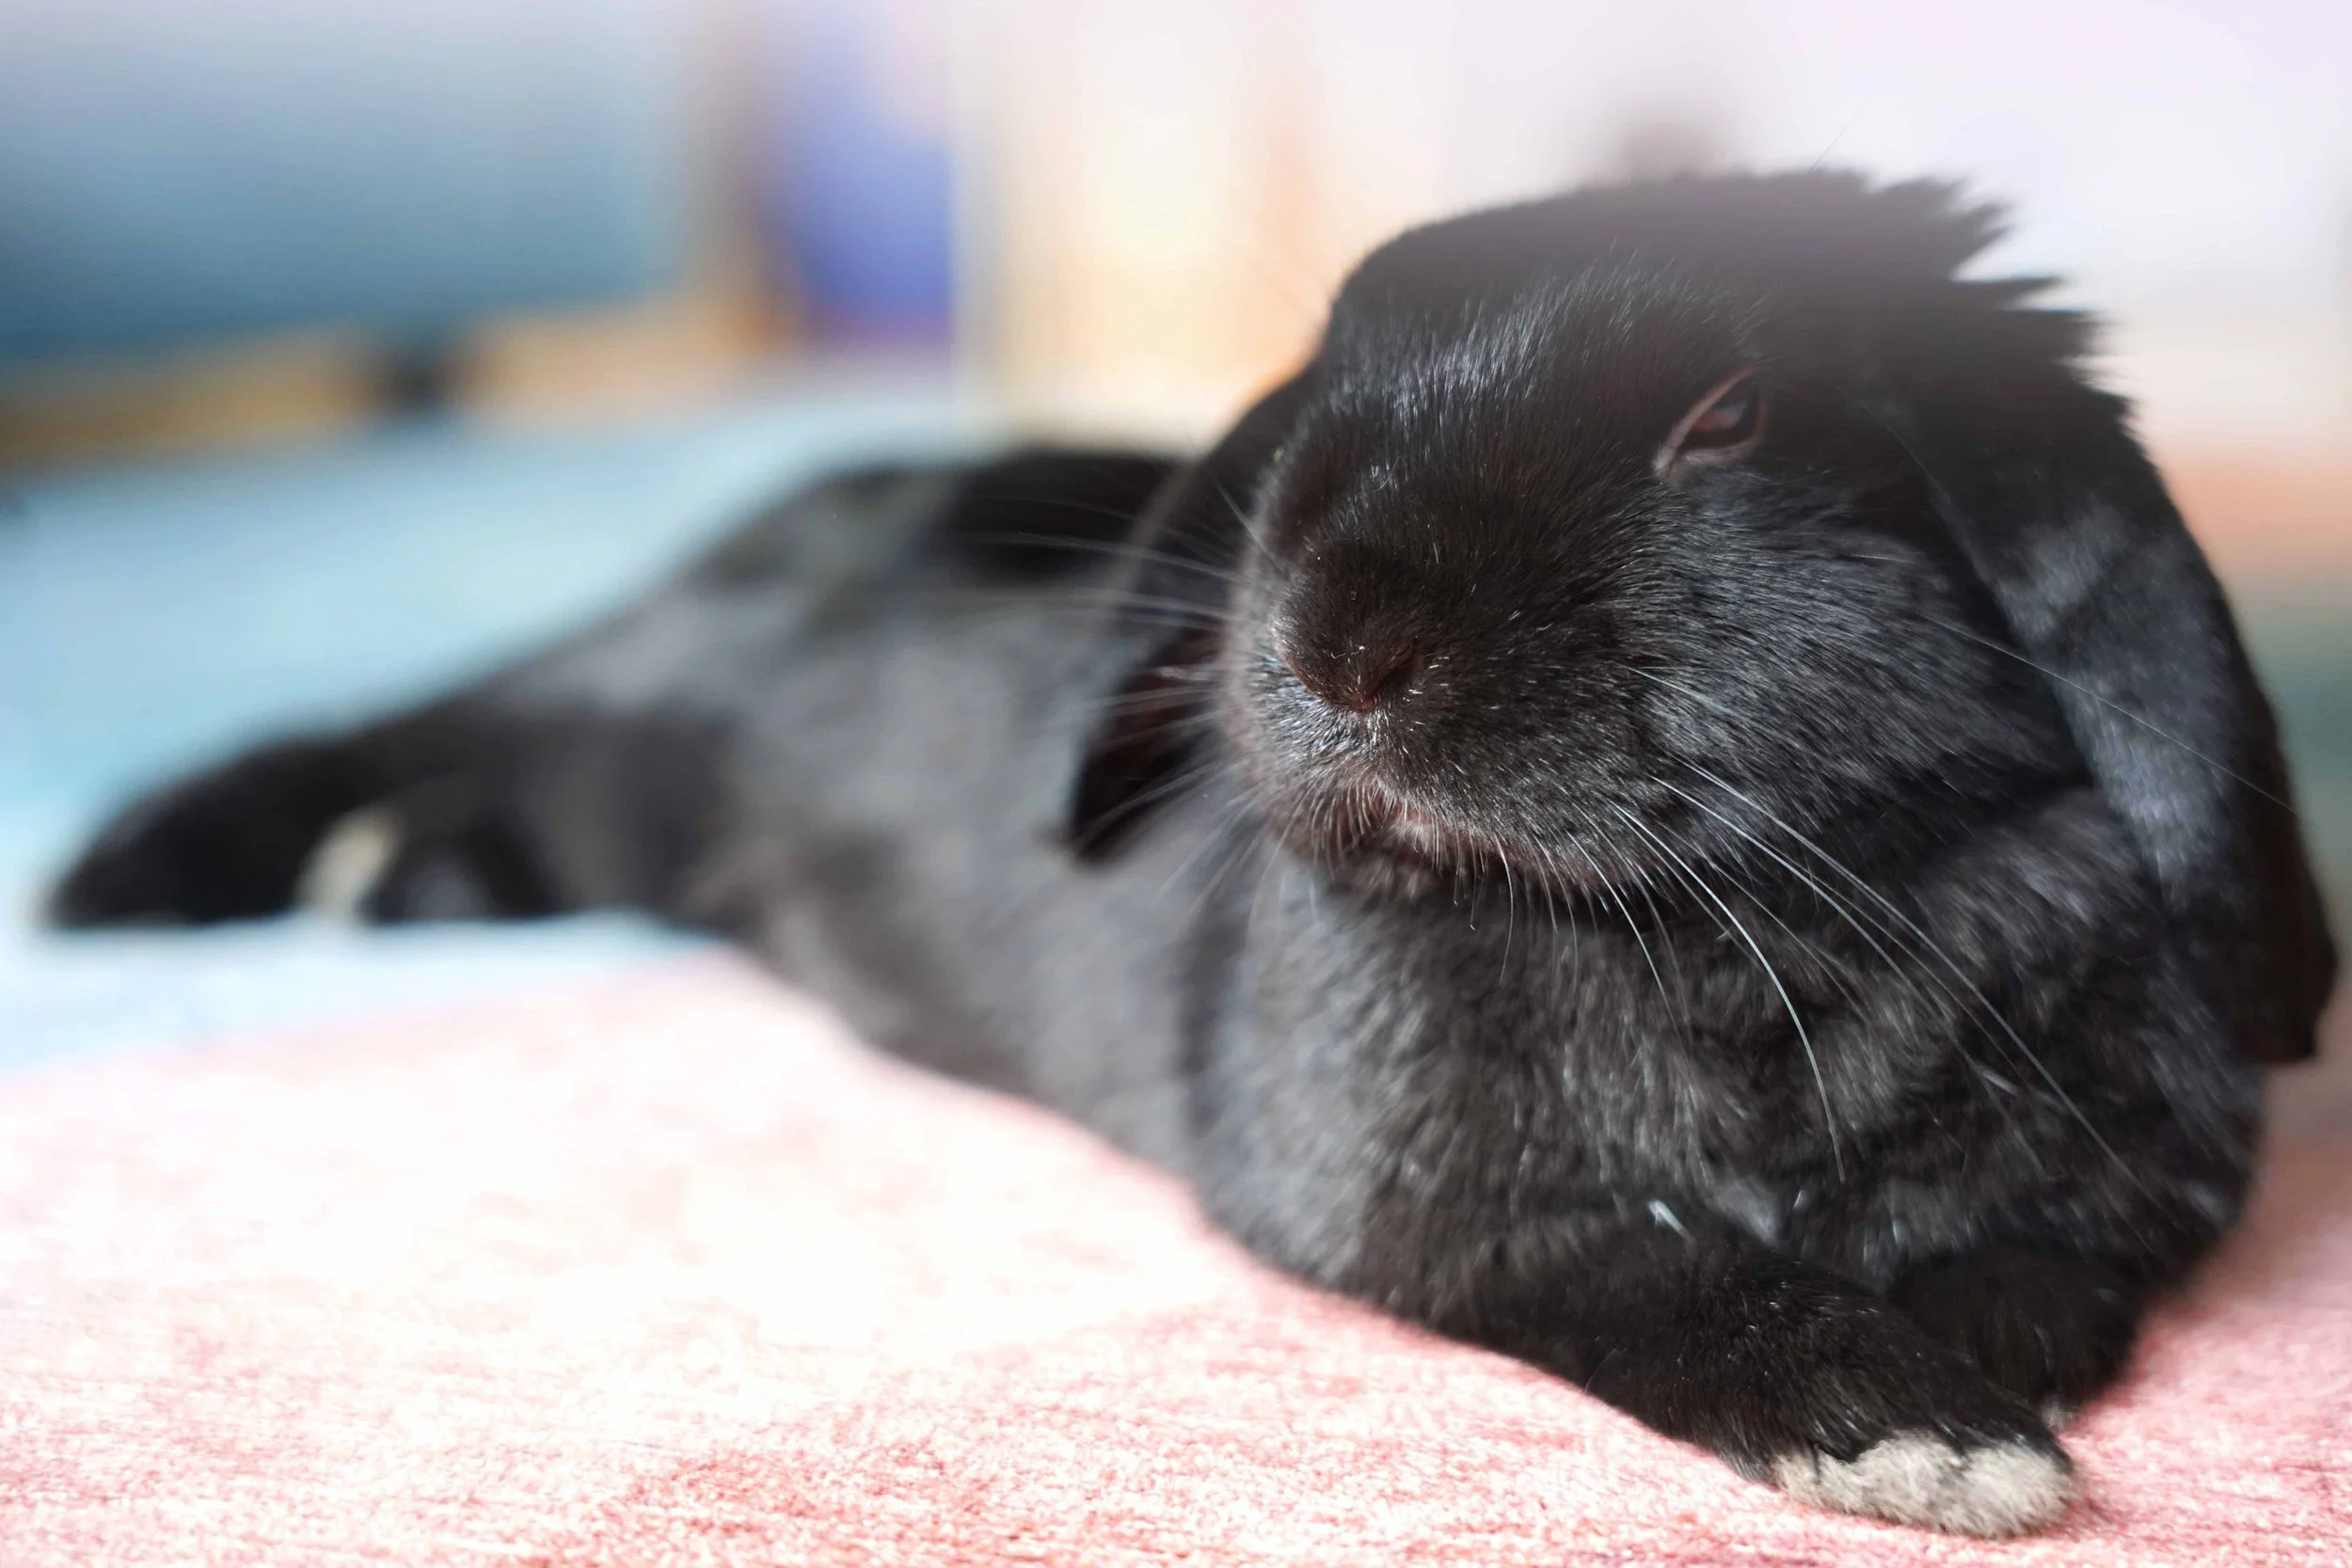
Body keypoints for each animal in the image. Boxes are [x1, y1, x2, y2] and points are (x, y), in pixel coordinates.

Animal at [51, 172, 2337, 1536]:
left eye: (1732, 418)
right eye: (1322, 397)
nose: (1329, 639)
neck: (1738, 915)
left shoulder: (2129, 1175)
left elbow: (2056, 1259)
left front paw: (1989, 1356)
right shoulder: (1422, 1211)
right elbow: (1654, 1273)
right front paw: (1920, 1433)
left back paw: (399, 881)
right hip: (621, 698)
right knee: (410, 720)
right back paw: (146, 874)